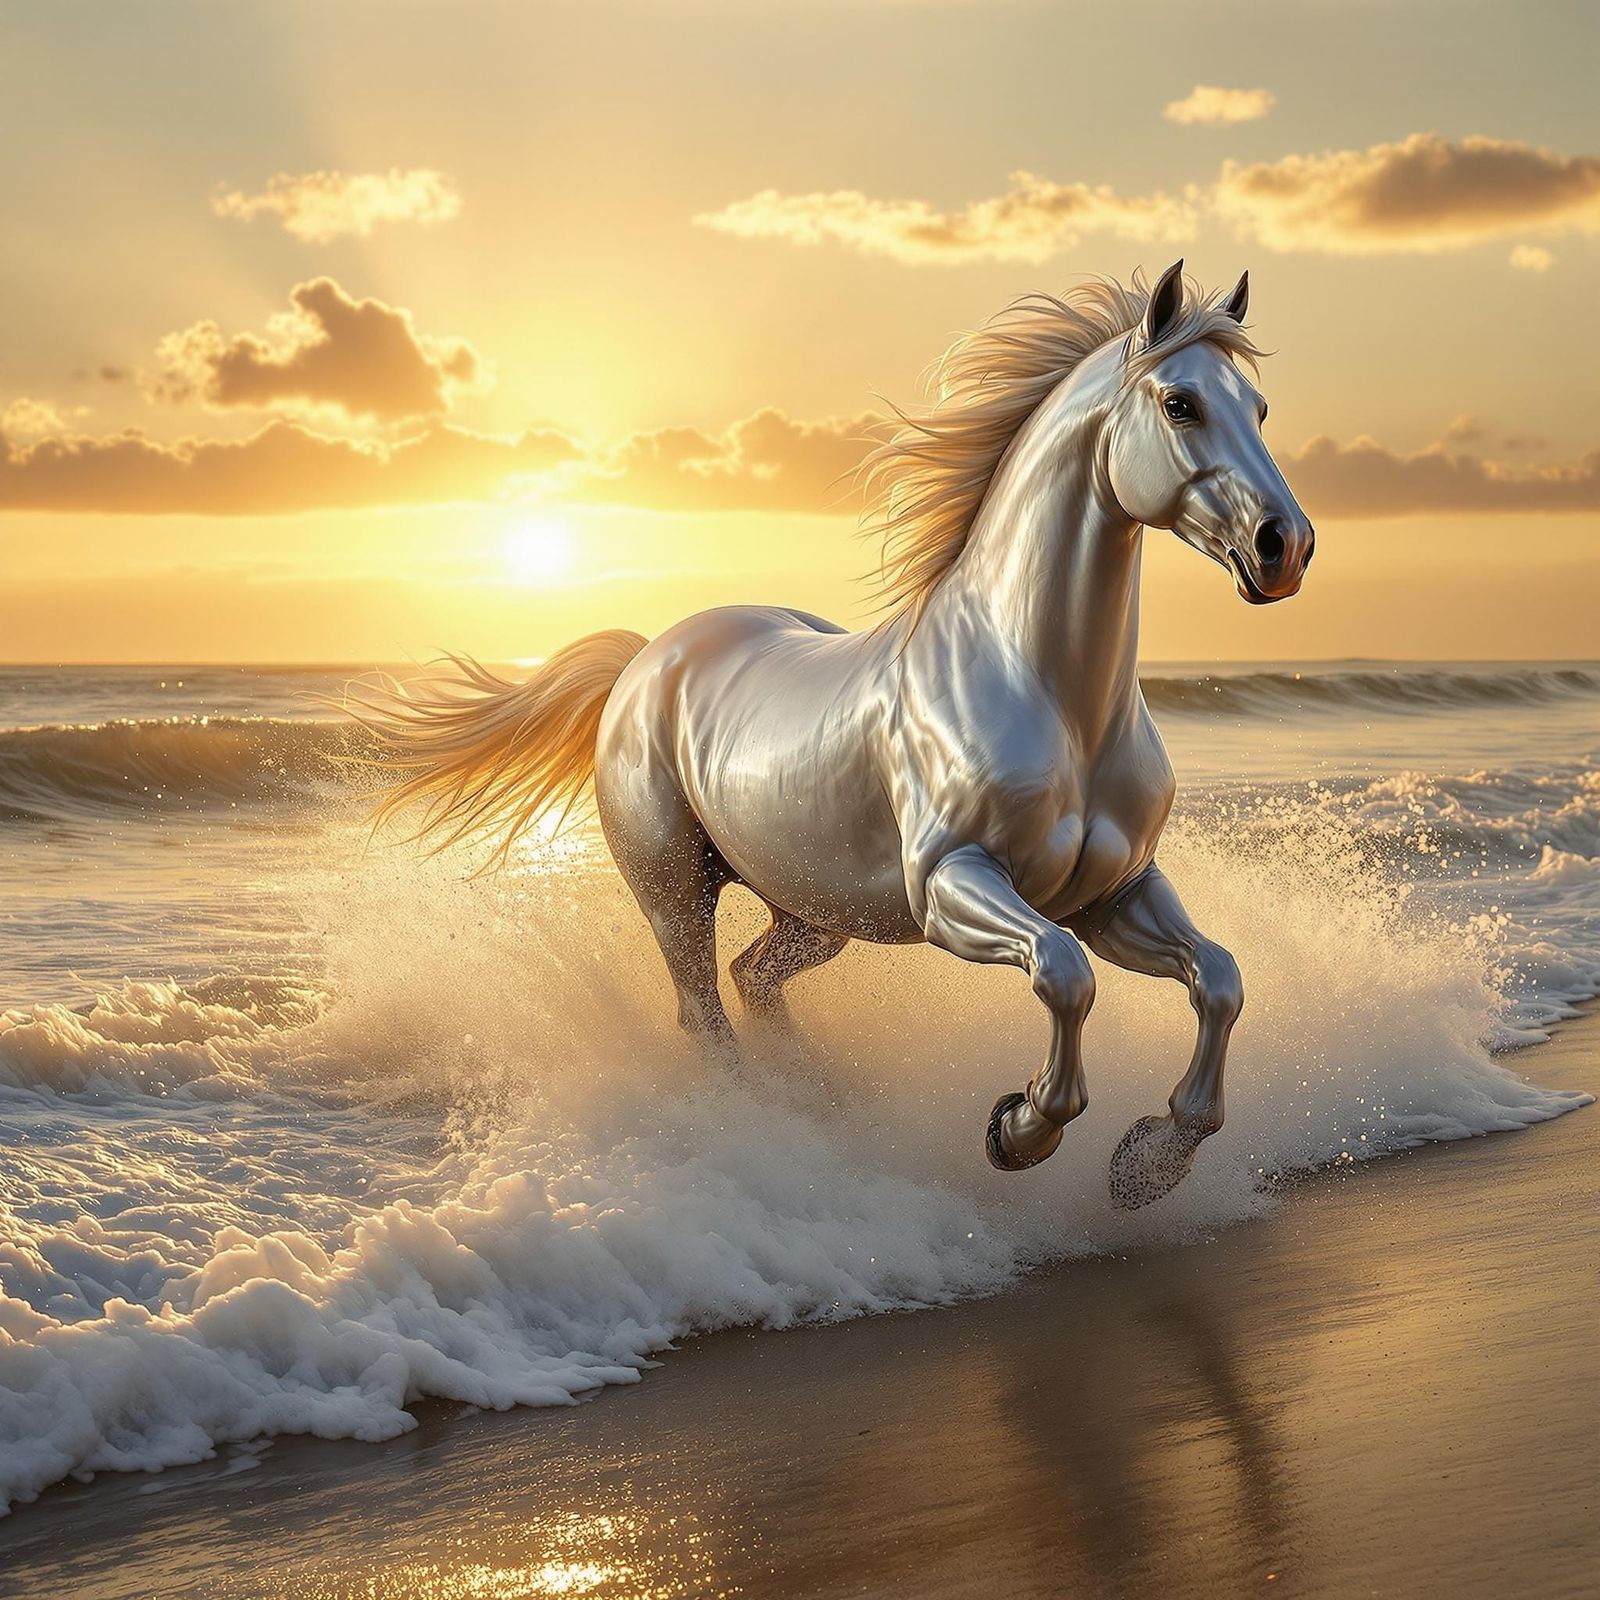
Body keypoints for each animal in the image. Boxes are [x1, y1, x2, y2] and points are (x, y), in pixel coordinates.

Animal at [352, 261, 1314, 1209]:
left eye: (1261, 409)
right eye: (1180, 403)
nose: (1285, 546)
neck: (1050, 696)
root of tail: (644, 661)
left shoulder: (1116, 892)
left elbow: (1219, 980)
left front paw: (1150, 1161)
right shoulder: (952, 886)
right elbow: (1063, 973)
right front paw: (1018, 1131)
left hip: (814, 909)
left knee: (753, 978)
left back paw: (822, 1101)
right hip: (674, 891)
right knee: (702, 1010)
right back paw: (761, 1126)